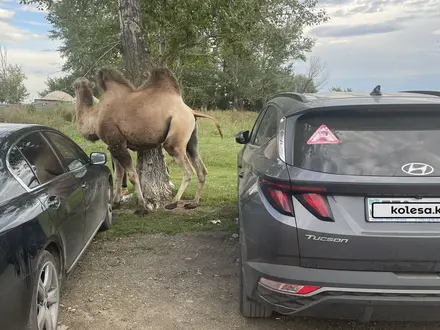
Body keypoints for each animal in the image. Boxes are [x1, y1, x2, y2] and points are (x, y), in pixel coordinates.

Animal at [74, 66, 223, 215]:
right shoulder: (112, 145)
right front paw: (116, 202)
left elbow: (132, 175)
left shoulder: (118, 144)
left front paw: (142, 207)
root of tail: (191, 111)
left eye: (75, 86)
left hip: (177, 130)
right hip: (191, 137)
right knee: (200, 167)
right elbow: (118, 175)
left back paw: (173, 203)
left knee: (187, 170)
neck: (95, 117)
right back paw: (193, 203)